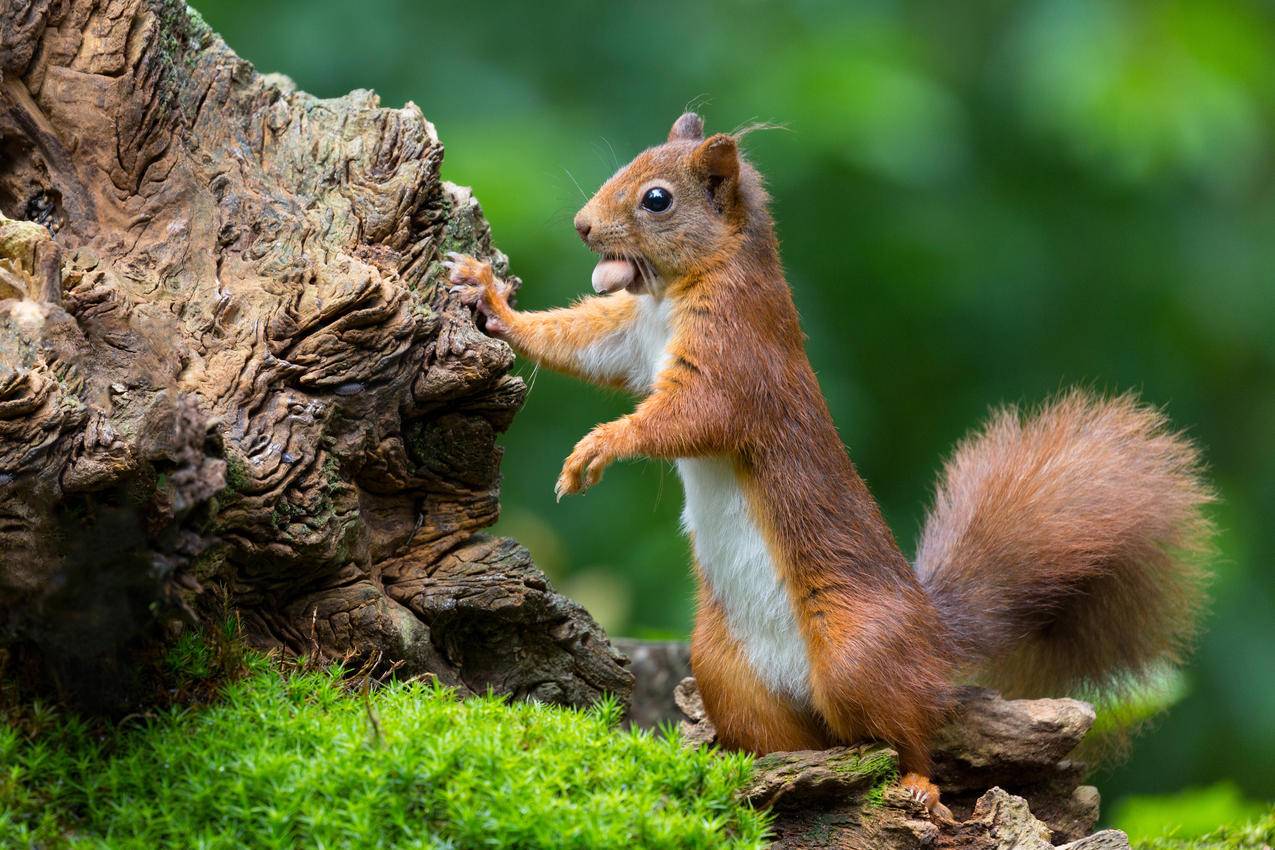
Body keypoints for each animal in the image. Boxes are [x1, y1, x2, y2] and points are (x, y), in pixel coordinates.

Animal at [443, 112, 1208, 815]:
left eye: (656, 199)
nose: (581, 227)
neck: (683, 289)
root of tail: (932, 636)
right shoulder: (630, 337)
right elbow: (576, 342)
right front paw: (489, 296)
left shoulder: (736, 363)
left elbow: (687, 418)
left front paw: (597, 447)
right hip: (725, 668)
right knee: (801, 738)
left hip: (855, 653)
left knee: (910, 730)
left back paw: (917, 784)